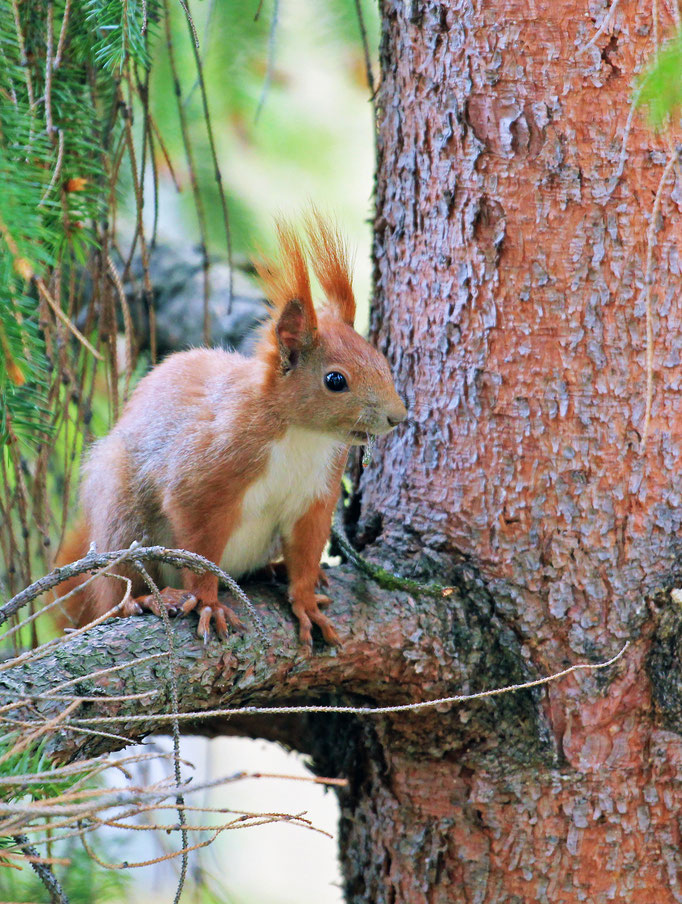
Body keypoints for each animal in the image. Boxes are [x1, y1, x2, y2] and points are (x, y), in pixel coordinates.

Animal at [55, 214, 407, 647]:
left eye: (381, 360)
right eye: (335, 380)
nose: (398, 416)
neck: (301, 435)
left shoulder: (315, 497)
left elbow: (307, 551)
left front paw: (306, 601)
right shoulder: (206, 476)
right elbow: (200, 547)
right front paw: (209, 603)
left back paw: (273, 569)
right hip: (121, 514)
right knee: (119, 588)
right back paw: (147, 599)